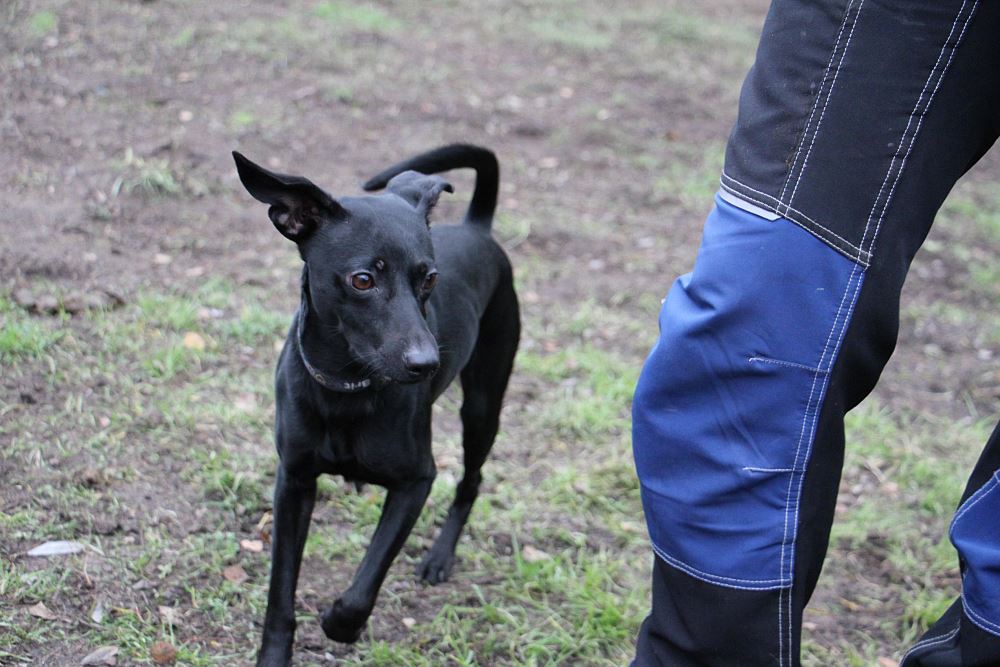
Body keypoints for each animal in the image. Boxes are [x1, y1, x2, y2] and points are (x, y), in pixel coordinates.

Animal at [232, 145, 520, 666]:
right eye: (363, 280)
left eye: (429, 279)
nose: (426, 363)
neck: (348, 388)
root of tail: (476, 226)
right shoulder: (294, 482)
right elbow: (280, 591)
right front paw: (274, 655)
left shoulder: (415, 482)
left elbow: (365, 583)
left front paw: (338, 623)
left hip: (483, 405)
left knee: (471, 480)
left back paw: (439, 558)